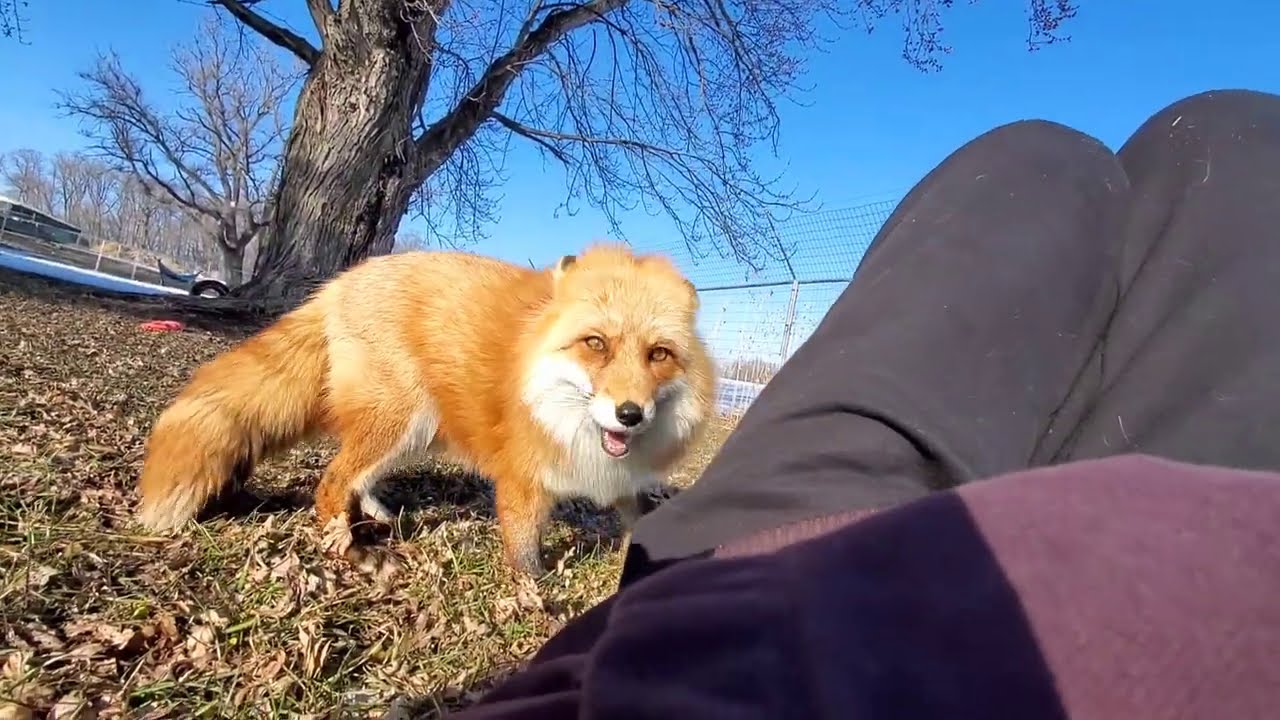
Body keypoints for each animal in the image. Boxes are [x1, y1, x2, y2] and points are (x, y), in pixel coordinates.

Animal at [134, 243, 717, 575]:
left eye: (659, 355)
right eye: (596, 344)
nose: (630, 414)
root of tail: (341, 282)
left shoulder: (621, 482)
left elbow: (641, 519)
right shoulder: (522, 481)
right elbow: (527, 560)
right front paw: (536, 604)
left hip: (414, 431)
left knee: (356, 478)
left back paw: (373, 513)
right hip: (398, 420)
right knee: (330, 483)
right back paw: (351, 550)